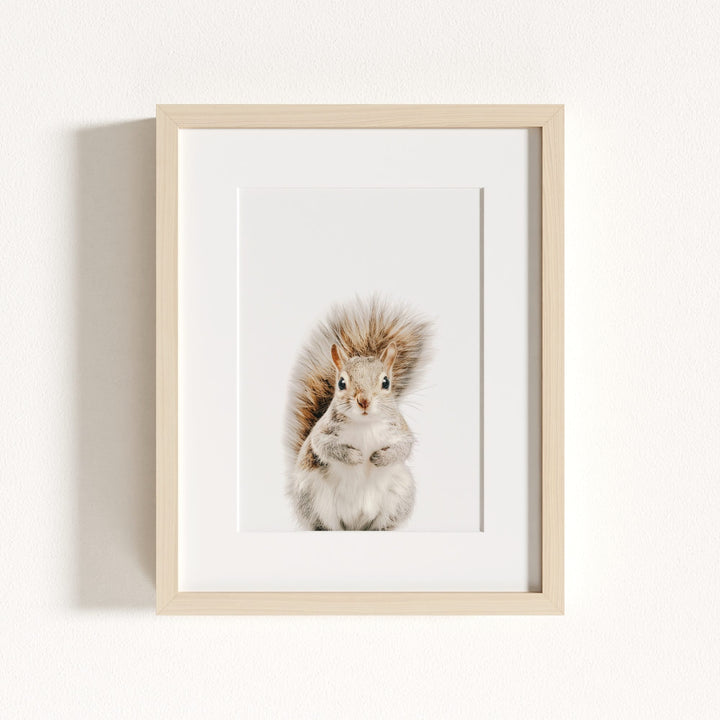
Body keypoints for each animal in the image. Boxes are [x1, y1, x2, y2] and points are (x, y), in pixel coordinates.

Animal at [286, 297, 431, 531]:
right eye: (341, 383)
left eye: (386, 382)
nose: (364, 400)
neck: (365, 424)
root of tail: (355, 524)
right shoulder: (322, 432)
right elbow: (324, 446)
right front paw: (355, 456)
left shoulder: (400, 430)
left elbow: (404, 447)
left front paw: (379, 457)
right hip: (313, 498)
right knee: (326, 524)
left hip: (399, 496)